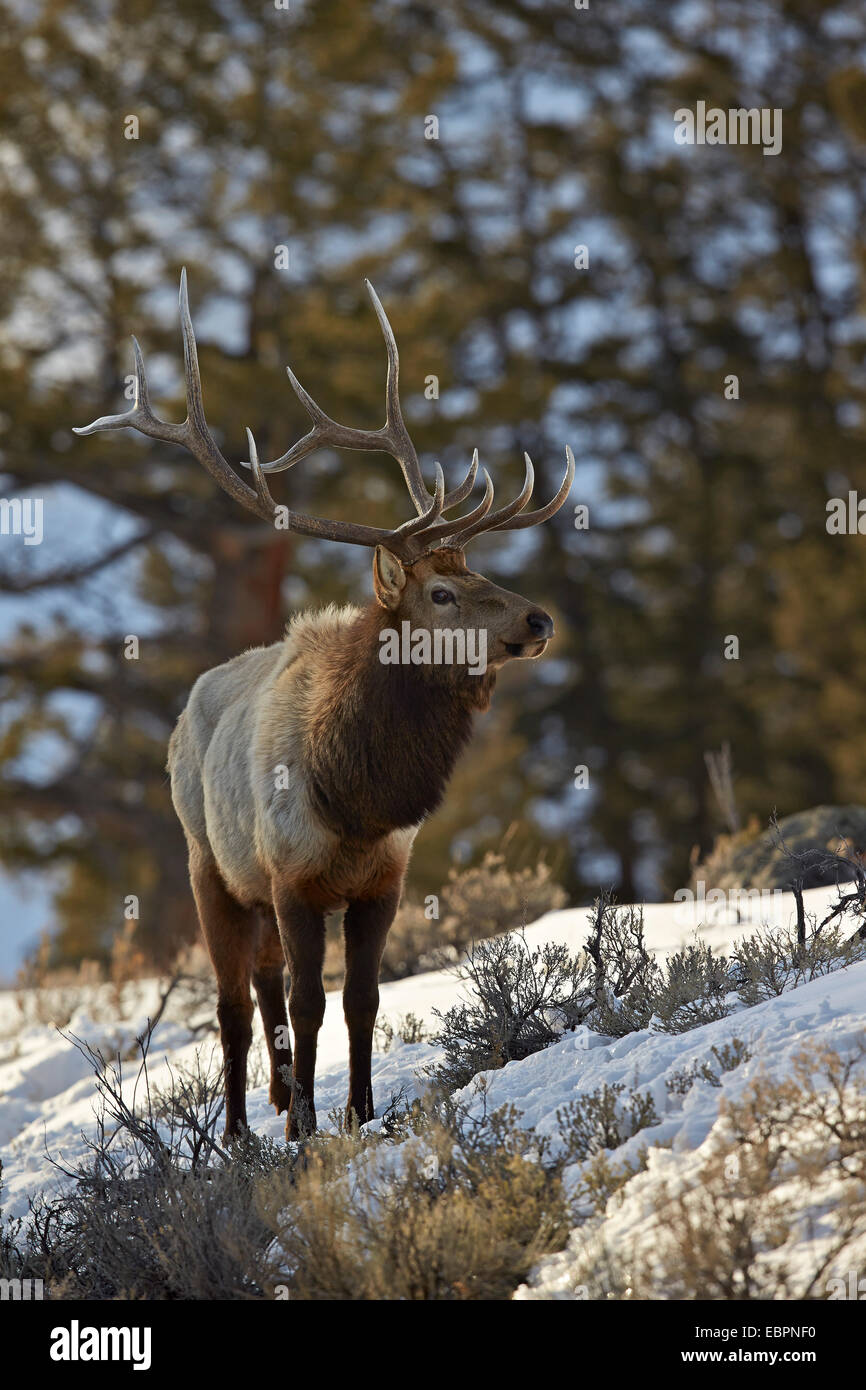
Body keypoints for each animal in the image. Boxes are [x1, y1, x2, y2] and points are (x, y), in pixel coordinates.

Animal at [76, 273, 575, 1139]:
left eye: (481, 573)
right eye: (442, 593)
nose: (539, 619)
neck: (355, 798)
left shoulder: (384, 879)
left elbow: (362, 999)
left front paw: (356, 1112)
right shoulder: (293, 876)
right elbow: (310, 1002)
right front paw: (309, 1128)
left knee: (265, 984)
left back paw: (279, 1099)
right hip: (210, 865)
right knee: (237, 1002)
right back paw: (244, 1128)